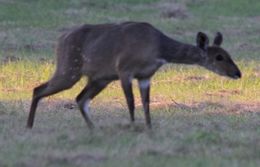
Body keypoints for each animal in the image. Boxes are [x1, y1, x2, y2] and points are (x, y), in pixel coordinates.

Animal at [26, 21, 242, 129]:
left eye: (229, 54)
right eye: (219, 57)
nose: (238, 73)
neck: (157, 50)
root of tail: (60, 40)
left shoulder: (145, 76)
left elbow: (146, 103)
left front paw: (149, 128)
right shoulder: (124, 70)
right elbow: (130, 102)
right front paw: (132, 125)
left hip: (99, 78)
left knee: (80, 98)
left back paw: (94, 128)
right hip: (69, 68)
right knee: (38, 89)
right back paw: (29, 126)